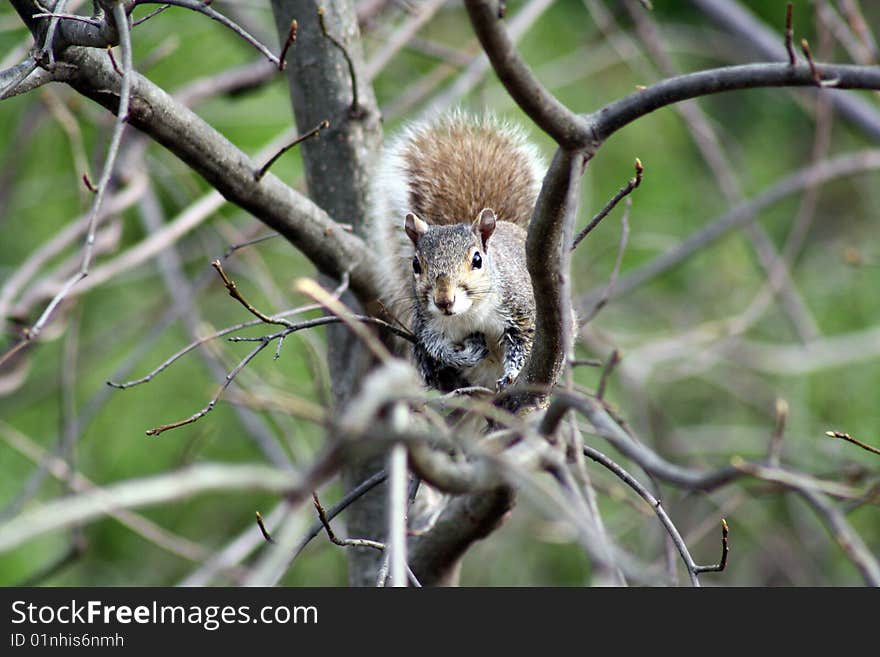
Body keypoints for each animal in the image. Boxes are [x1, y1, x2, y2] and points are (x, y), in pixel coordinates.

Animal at [370, 110, 548, 392]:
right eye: (415, 265)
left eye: (477, 260)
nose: (444, 301)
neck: (469, 314)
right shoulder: (428, 327)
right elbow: (436, 348)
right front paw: (464, 355)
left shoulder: (521, 309)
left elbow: (523, 342)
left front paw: (511, 374)